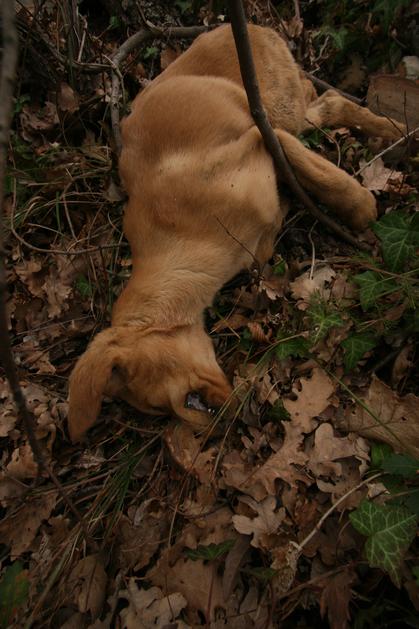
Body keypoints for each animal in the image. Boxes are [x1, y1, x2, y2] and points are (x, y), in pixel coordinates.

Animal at [68, 24, 404, 441]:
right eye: (156, 411)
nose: (212, 432)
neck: (182, 247)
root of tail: (244, 26)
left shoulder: (261, 137)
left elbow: (319, 174)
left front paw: (360, 208)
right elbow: (267, 240)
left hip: (276, 109)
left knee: (329, 106)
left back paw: (394, 129)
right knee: (324, 102)